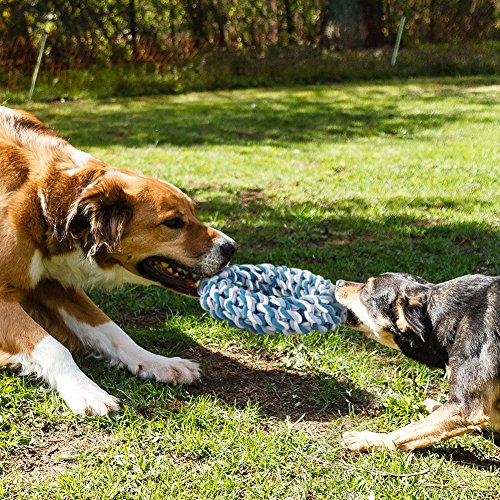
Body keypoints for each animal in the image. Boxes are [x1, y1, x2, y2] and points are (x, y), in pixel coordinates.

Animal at [0, 106, 237, 415]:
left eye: (194, 213)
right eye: (174, 222)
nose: (231, 247)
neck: (50, 199)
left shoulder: (54, 284)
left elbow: (111, 330)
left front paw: (157, 363)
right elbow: (52, 346)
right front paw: (86, 391)